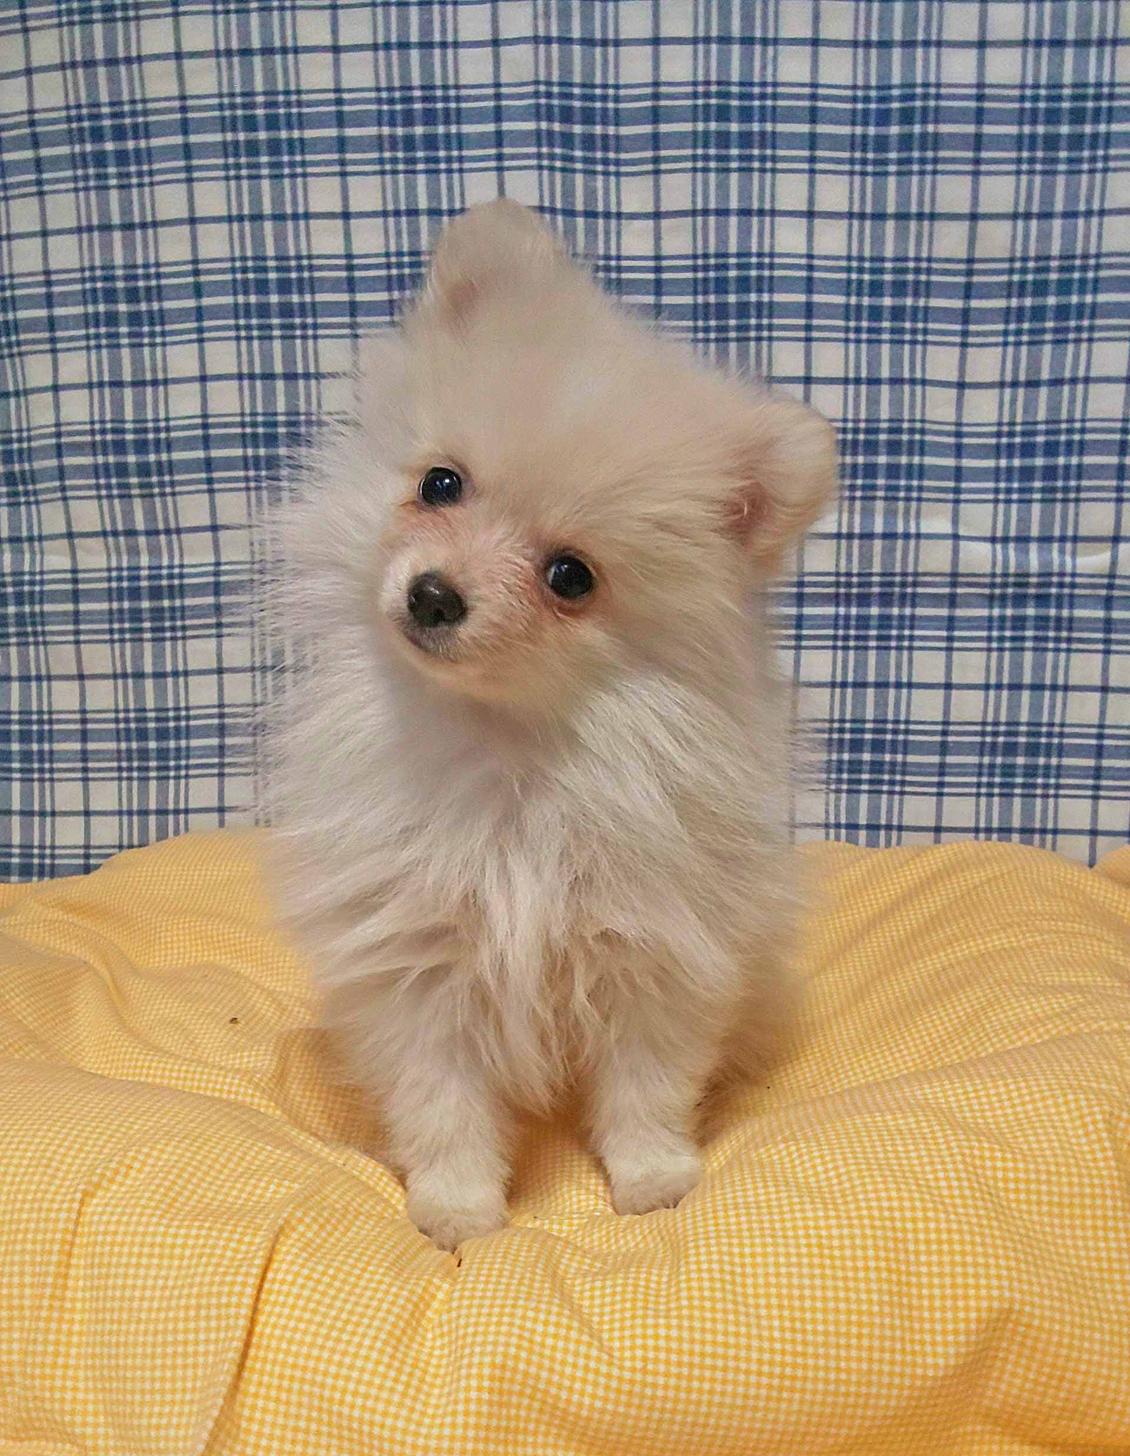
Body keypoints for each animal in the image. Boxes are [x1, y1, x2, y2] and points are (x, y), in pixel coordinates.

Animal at [261, 200, 836, 1250]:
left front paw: (653, 1179)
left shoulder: (653, 949)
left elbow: (646, 1086)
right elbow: (441, 1101)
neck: (509, 759)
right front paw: (457, 1208)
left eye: (571, 577)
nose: (434, 595)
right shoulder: (418, 960)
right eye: (441, 484)